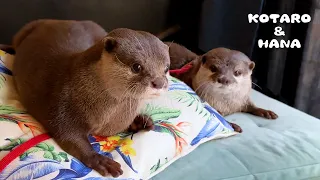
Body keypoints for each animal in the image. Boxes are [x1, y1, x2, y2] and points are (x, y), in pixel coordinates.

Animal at [13, 19, 170, 177]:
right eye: (136, 66)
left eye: (166, 68)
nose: (159, 83)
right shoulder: (63, 109)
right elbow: (69, 136)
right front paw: (100, 160)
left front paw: (140, 120)